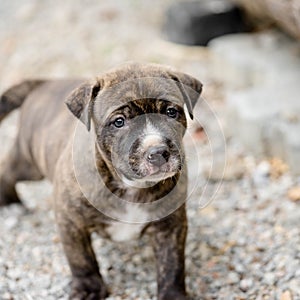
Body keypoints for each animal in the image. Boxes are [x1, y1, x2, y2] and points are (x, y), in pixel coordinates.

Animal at [0, 62, 203, 298]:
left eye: (171, 112)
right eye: (119, 122)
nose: (158, 151)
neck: (131, 186)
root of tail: (44, 83)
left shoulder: (171, 226)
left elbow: (172, 264)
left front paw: (172, 294)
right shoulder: (70, 220)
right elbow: (81, 258)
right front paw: (88, 287)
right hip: (29, 163)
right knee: (8, 169)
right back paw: (9, 201)